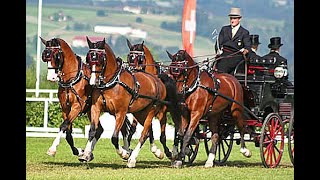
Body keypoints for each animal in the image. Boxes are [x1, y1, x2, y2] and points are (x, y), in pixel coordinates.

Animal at [78, 36, 178, 167]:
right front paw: (86, 154)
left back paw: (133, 159)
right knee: (147, 132)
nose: (92, 82)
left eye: (100, 59)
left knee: (144, 134)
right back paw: (157, 152)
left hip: (152, 111)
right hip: (140, 113)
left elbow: (114, 137)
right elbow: (92, 131)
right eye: (88, 59)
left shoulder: (121, 112)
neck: (111, 83)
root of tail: (157, 80)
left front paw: (124, 153)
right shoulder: (96, 108)